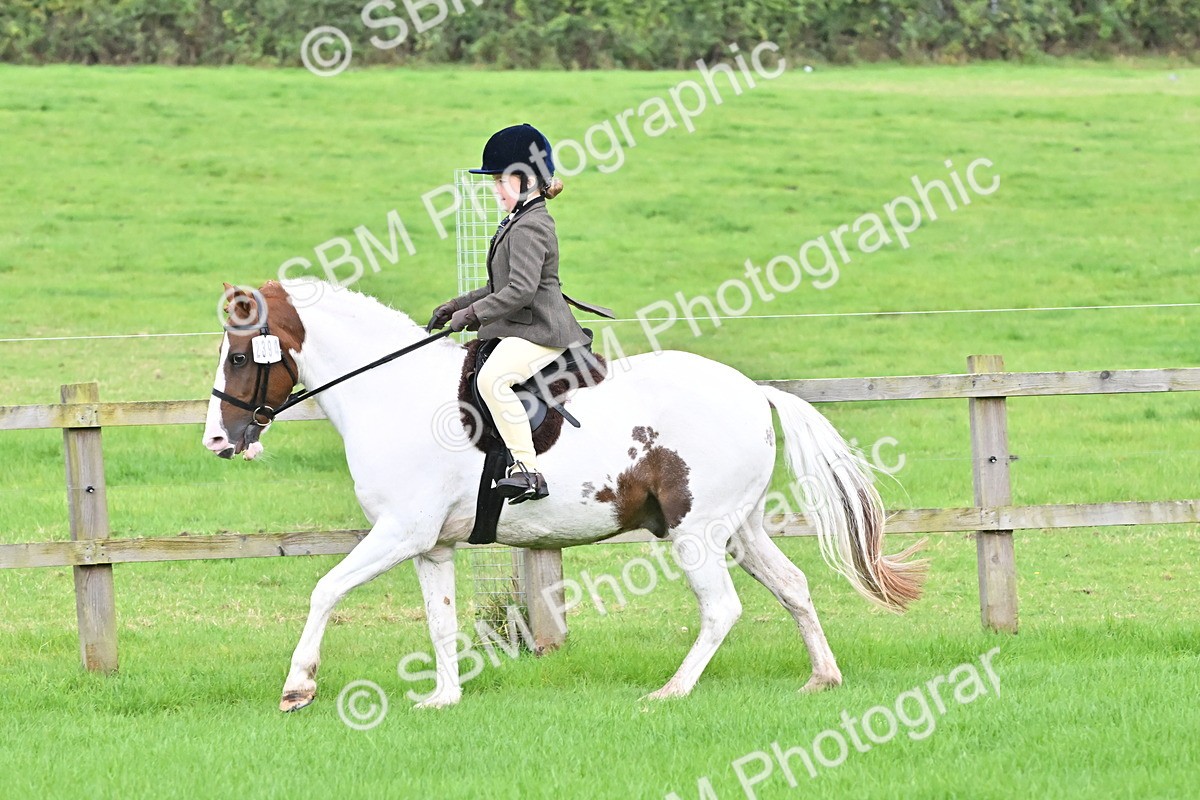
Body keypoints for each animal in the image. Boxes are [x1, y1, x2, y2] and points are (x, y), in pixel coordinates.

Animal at [202, 279, 926, 711]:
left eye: (238, 357)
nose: (218, 440)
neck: (393, 396)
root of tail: (753, 390)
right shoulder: (430, 546)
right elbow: (439, 620)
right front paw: (443, 699)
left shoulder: (400, 533)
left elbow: (325, 589)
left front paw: (298, 686)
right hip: (738, 528)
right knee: (793, 586)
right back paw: (822, 678)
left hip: (696, 533)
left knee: (721, 609)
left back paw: (670, 691)